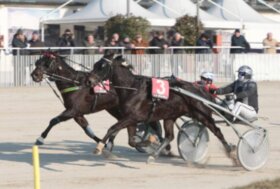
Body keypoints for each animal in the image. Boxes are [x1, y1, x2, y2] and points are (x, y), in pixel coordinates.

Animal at [30, 52, 160, 151]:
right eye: (37, 62)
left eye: (46, 63)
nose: (34, 75)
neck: (74, 83)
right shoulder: (77, 114)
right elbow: (87, 131)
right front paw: (103, 143)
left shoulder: (72, 110)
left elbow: (53, 121)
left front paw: (40, 139)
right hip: (113, 108)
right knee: (122, 123)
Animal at [88, 54, 236, 161]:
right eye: (95, 65)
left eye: (102, 66)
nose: (89, 81)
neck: (132, 89)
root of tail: (202, 90)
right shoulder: (130, 119)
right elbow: (131, 141)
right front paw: (149, 141)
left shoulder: (133, 117)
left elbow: (113, 128)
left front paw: (99, 147)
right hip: (170, 116)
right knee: (169, 136)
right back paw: (154, 155)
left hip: (202, 114)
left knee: (217, 131)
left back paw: (232, 152)